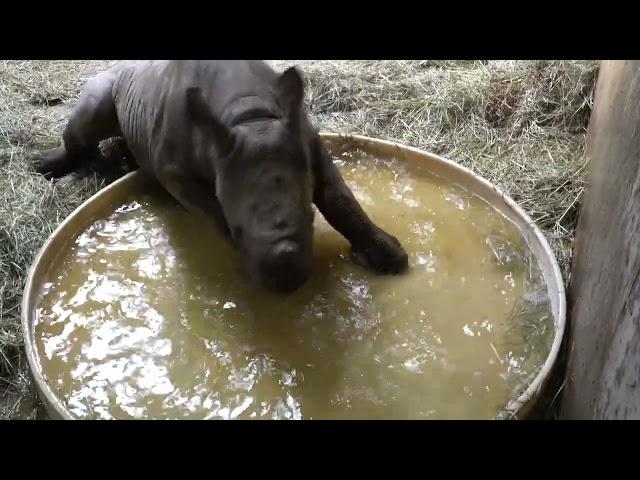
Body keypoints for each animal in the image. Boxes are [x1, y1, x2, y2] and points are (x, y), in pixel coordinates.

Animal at [35, 60, 408, 292]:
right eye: (239, 231)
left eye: (311, 218)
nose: (286, 281)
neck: (250, 117)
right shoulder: (174, 172)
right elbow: (213, 210)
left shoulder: (306, 142)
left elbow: (340, 198)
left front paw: (392, 259)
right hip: (109, 82)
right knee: (91, 116)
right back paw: (56, 166)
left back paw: (116, 162)